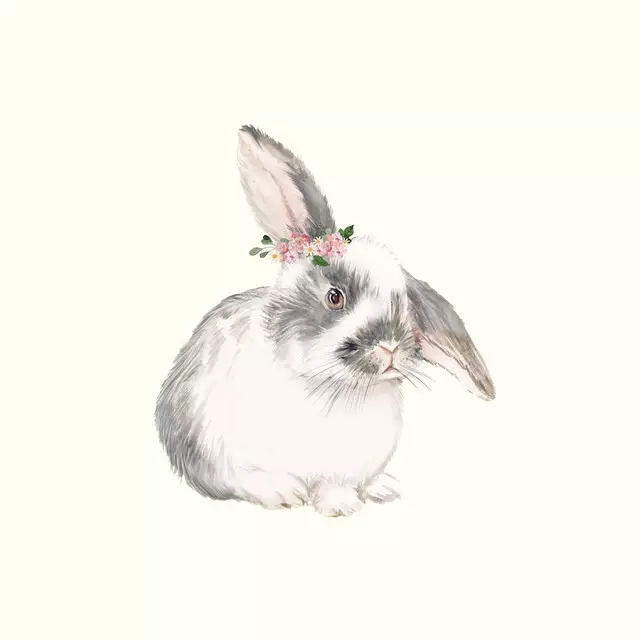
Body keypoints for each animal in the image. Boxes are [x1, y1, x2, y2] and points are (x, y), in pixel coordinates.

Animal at [155, 125, 495, 517]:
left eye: (406, 308)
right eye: (335, 297)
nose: (389, 348)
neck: (331, 388)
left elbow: (335, 484)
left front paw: (341, 503)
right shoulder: (218, 453)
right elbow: (245, 479)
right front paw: (287, 494)